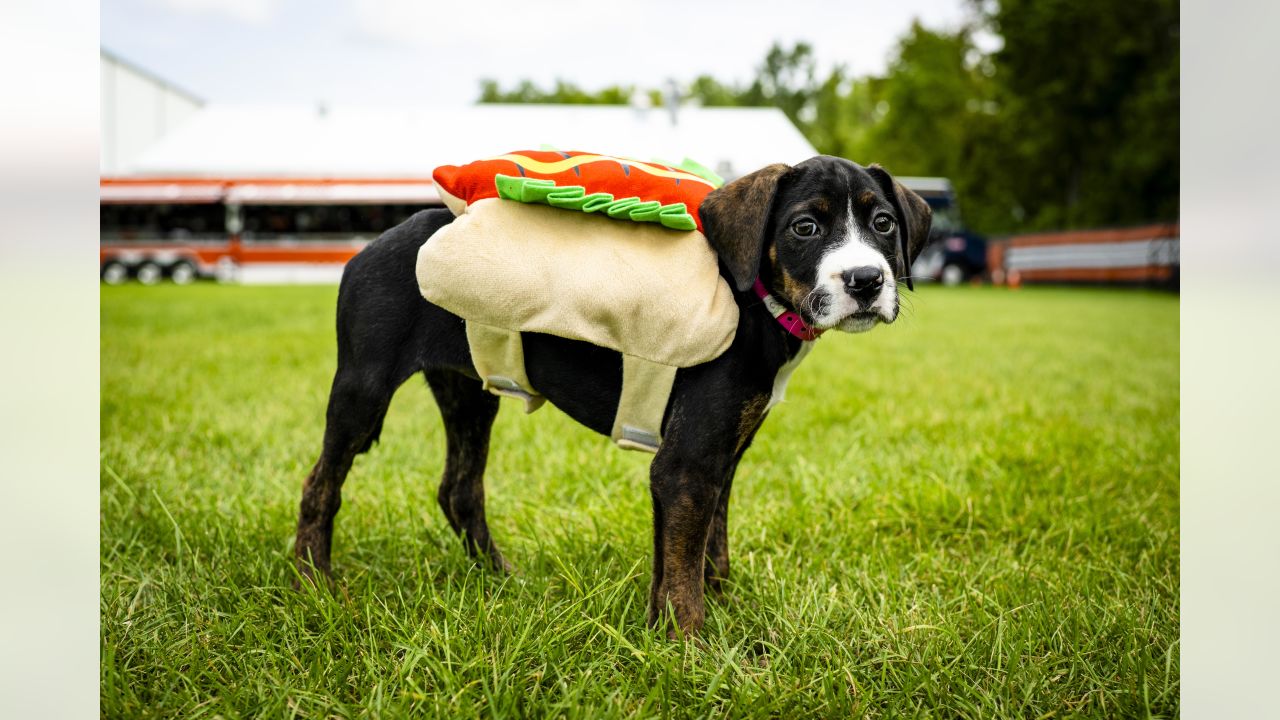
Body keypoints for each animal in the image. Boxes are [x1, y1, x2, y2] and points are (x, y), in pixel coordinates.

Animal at [293, 155, 926, 632]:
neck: (757, 304)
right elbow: (683, 569)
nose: (866, 281)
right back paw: (313, 583)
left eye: (884, 224)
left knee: (459, 490)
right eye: (804, 228)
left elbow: (701, 553)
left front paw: (711, 619)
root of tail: (368, 248)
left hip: (470, 392)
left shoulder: (718, 457)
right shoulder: (687, 463)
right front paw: (692, 650)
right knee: (321, 483)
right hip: (363, 388)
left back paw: (499, 579)